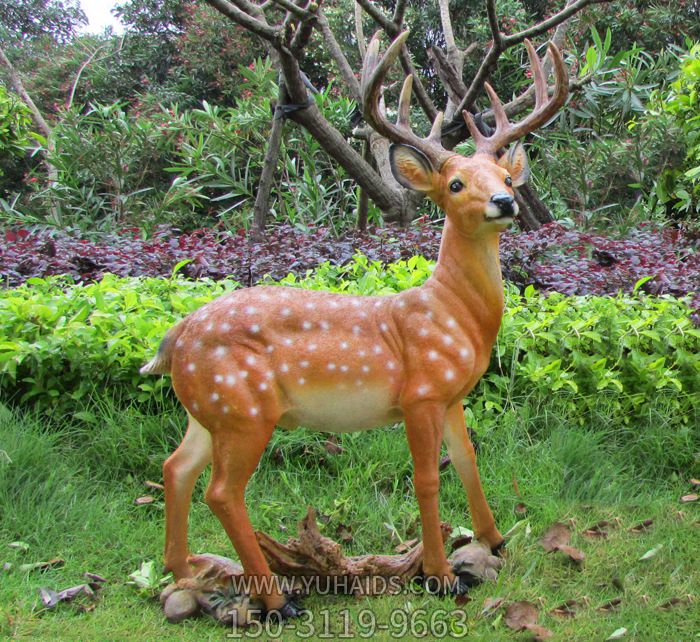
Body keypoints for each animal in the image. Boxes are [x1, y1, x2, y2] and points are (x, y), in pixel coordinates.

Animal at [140, 31, 568, 619]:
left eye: (506, 177)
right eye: (456, 184)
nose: (505, 201)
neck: (453, 316)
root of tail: (175, 337)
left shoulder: (452, 394)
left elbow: (468, 461)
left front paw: (496, 540)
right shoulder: (420, 393)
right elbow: (427, 479)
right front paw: (440, 576)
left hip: (211, 409)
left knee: (175, 467)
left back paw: (184, 570)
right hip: (244, 409)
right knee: (222, 491)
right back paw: (277, 599)